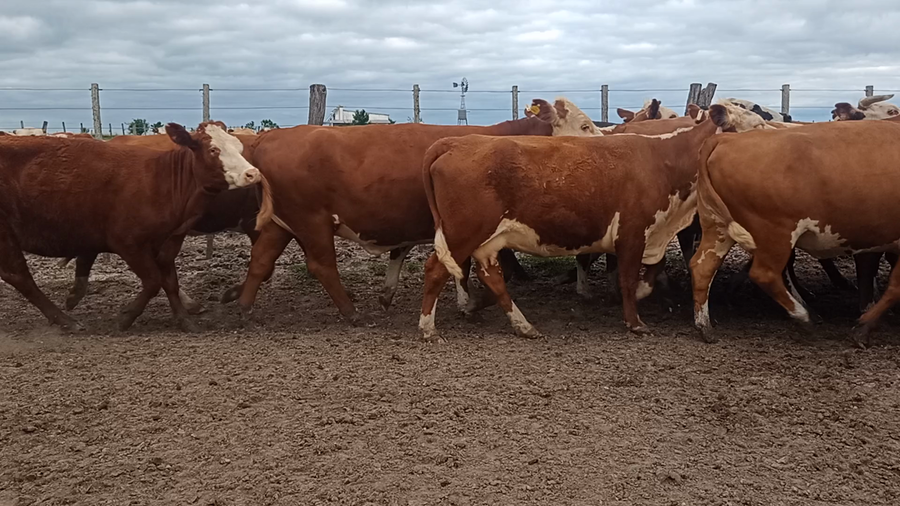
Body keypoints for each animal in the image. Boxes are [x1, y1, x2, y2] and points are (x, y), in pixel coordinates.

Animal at [223, 117, 554, 325]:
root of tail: (272, 135)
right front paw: (472, 304)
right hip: (311, 222)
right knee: (321, 265)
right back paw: (351, 312)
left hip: (282, 225)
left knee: (261, 259)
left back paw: (244, 307)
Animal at [416, 104, 776, 341]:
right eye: (755, 126)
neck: (664, 160)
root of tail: (454, 142)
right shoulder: (632, 231)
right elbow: (628, 279)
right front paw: (635, 321)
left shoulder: (653, 233)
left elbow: (652, 271)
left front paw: (643, 294)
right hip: (462, 231)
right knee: (436, 269)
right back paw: (428, 328)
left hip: (486, 239)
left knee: (491, 276)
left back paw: (520, 324)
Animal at [690, 118, 900, 347]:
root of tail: (726, 138)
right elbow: (894, 286)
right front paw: (863, 327)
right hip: (775, 232)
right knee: (764, 274)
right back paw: (804, 317)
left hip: (717, 227)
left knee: (702, 267)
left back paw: (705, 327)